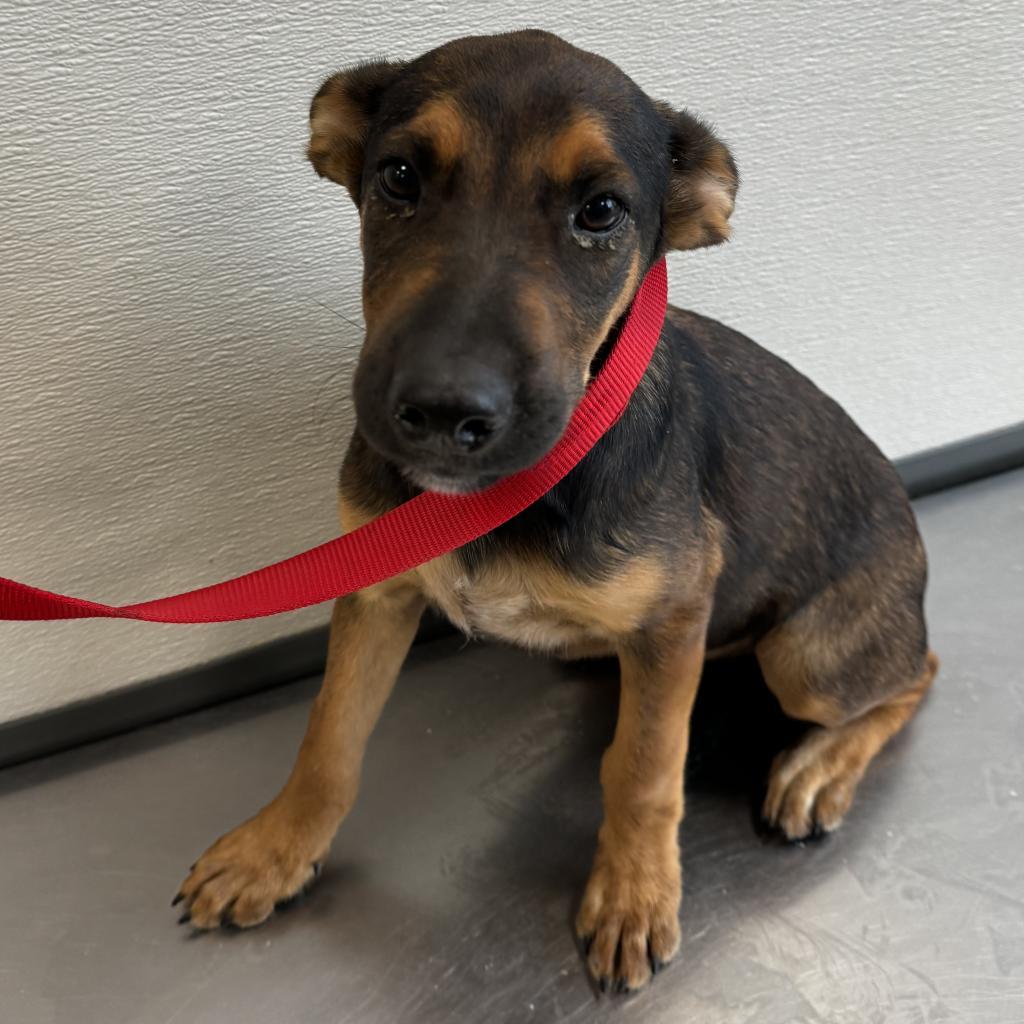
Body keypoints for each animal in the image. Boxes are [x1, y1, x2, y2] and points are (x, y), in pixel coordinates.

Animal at [174, 29, 937, 991]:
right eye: (398, 178)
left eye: (601, 211)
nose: (444, 413)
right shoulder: (379, 592)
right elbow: (329, 739)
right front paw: (273, 851)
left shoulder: (673, 621)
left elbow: (645, 770)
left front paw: (635, 895)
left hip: (807, 656)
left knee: (918, 671)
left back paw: (819, 769)